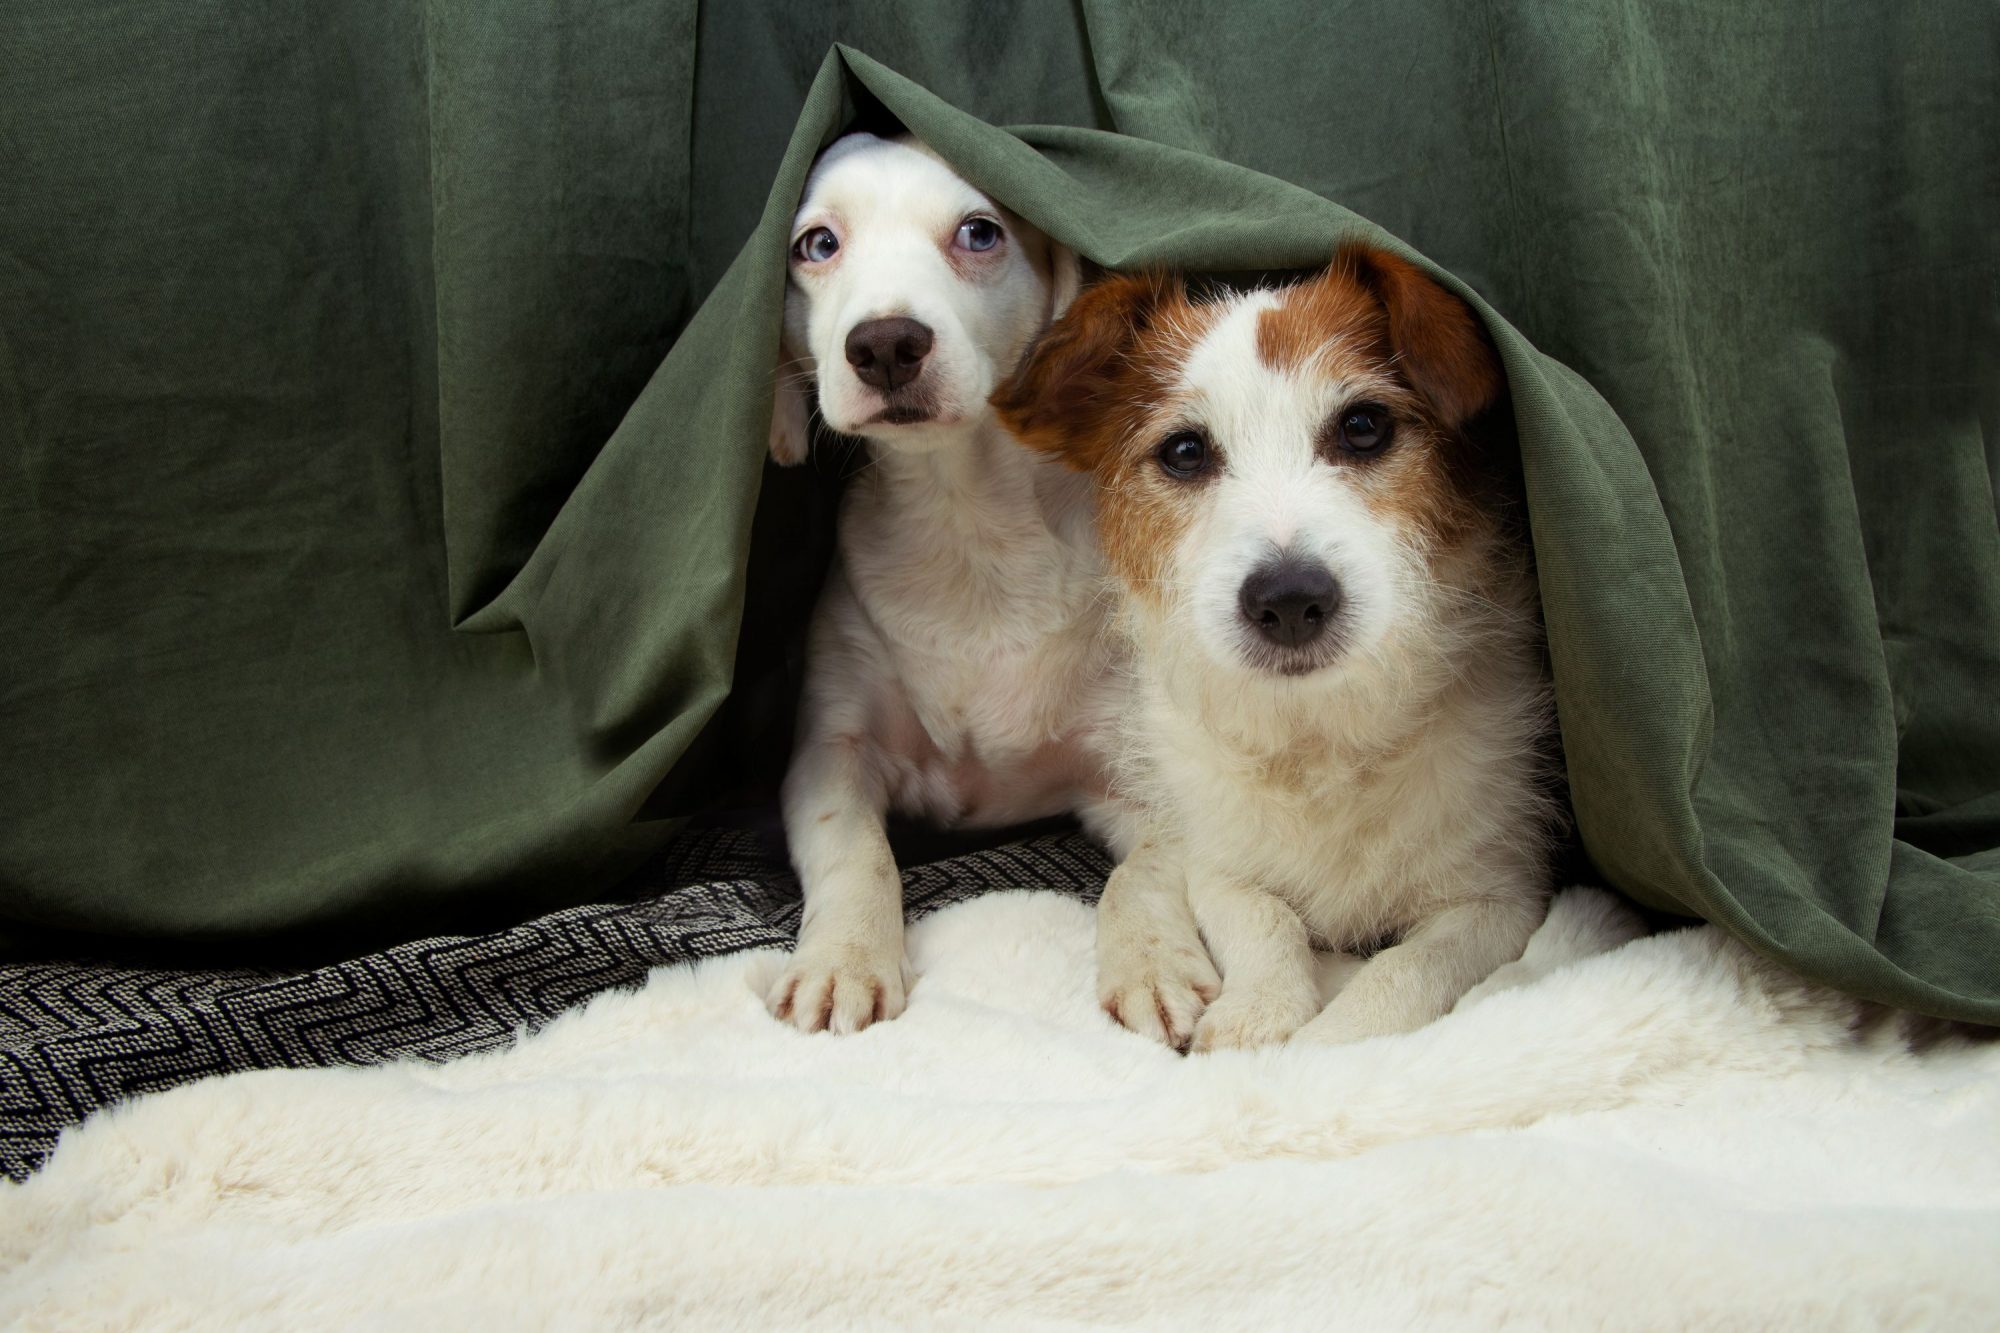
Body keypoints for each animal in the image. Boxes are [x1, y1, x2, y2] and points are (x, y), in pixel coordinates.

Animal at [756, 132, 1208, 1024]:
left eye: (979, 232)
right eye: (817, 244)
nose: (885, 343)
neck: (968, 531)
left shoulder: (1145, 772)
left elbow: (1144, 873)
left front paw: (1152, 961)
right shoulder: (831, 751)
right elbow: (857, 852)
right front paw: (843, 958)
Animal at [992, 241, 1552, 1048]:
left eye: (1363, 426)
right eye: (1185, 450)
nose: (1288, 600)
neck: (1317, 737)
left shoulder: (1499, 898)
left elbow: (1407, 967)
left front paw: (1328, 1045)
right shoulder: (1218, 862)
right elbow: (1264, 918)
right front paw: (1258, 1012)